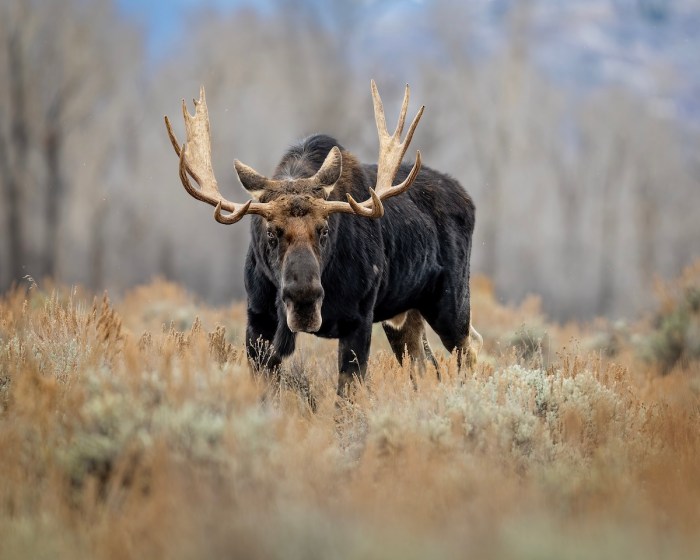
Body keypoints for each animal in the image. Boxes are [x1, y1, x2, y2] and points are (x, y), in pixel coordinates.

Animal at [165, 81, 482, 395]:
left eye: (325, 229)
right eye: (270, 232)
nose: (304, 299)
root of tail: (467, 198)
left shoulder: (359, 319)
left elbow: (346, 395)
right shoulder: (258, 318)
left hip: (450, 303)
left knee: (469, 352)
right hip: (404, 314)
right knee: (425, 365)